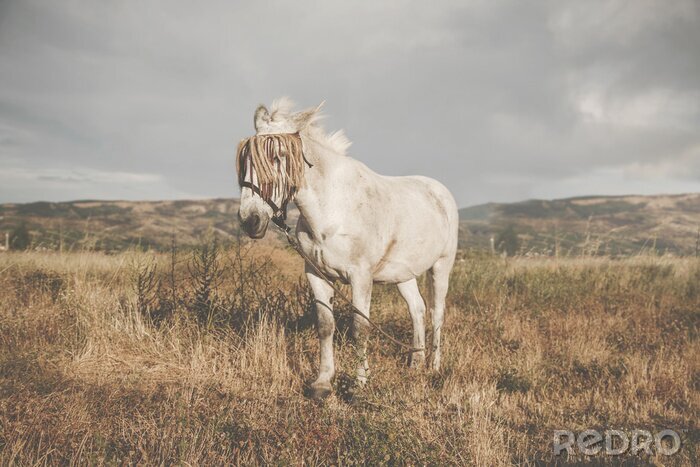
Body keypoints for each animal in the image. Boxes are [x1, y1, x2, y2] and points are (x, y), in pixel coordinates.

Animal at [236, 98, 458, 399]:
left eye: (278, 156)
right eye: (246, 159)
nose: (251, 220)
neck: (332, 208)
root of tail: (439, 191)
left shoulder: (360, 277)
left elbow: (360, 328)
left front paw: (359, 383)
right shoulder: (316, 274)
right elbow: (325, 325)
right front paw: (322, 383)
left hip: (441, 266)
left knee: (436, 312)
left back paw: (433, 366)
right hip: (404, 274)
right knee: (417, 309)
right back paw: (415, 363)